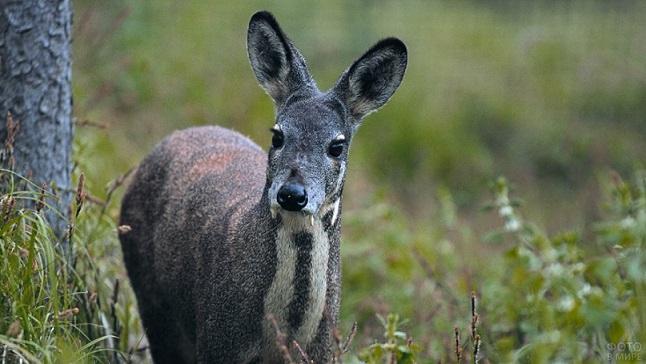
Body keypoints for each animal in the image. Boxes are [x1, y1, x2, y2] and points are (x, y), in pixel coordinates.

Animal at [119, 9, 408, 362]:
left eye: (337, 146)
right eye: (278, 135)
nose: (292, 194)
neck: (284, 333)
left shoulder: (324, 348)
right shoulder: (217, 340)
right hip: (152, 299)